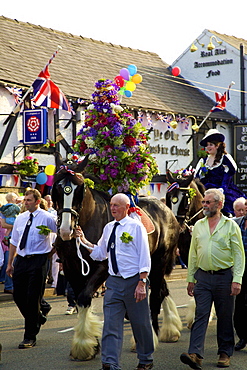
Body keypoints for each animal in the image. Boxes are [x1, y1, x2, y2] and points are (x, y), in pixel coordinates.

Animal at [53, 155, 182, 360]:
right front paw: (91, 345)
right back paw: (170, 330)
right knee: (162, 290)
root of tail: (167, 210)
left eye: (79, 188)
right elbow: (81, 299)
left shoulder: (102, 267)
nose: (67, 229)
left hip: (160, 261)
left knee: (155, 297)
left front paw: (83, 344)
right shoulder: (71, 268)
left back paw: (152, 337)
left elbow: (84, 297)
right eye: (57, 188)